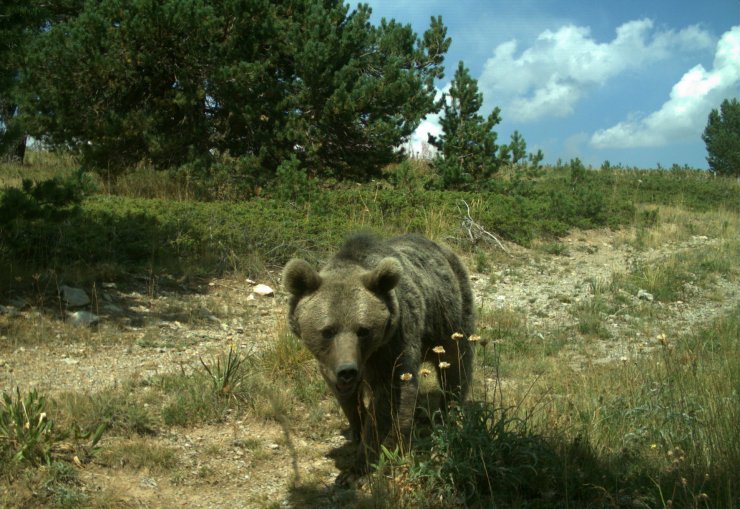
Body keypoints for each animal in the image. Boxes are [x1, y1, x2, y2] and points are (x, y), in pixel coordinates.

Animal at [284, 233, 474, 480]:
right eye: (327, 331)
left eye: (363, 330)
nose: (347, 371)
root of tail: (442, 247)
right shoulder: (330, 363)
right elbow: (347, 398)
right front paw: (357, 428)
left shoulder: (393, 345)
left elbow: (391, 399)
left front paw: (363, 463)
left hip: (450, 315)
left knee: (456, 366)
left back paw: (449, 413)